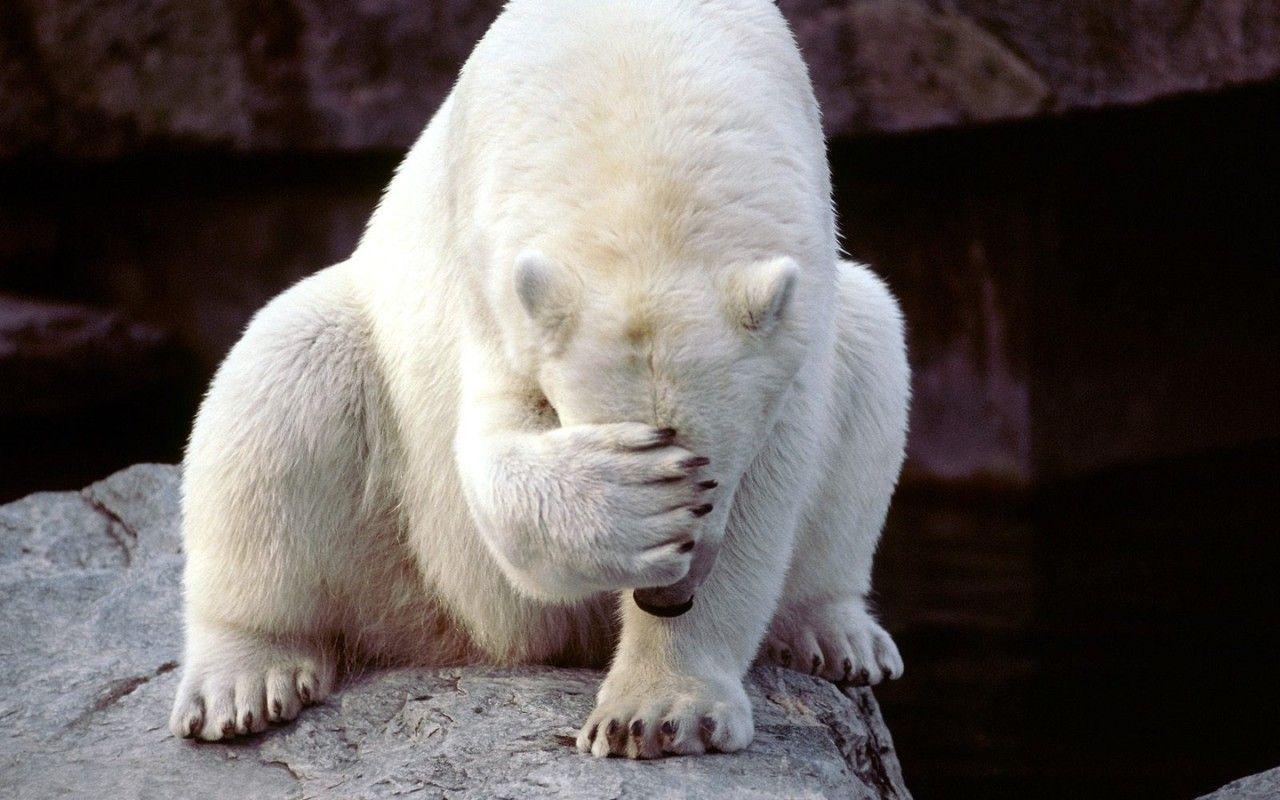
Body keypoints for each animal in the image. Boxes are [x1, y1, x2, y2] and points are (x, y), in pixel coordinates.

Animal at [168, 0, 909, 760]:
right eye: (677, 470)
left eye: (711, 476)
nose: (666, 597)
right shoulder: (492, 269)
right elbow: (491, 449)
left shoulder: (800, 294)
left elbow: (773, 482)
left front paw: (659, 712)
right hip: (399, 544)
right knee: (284, 373)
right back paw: (243, 680)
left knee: (873, 340)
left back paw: (834, 633)